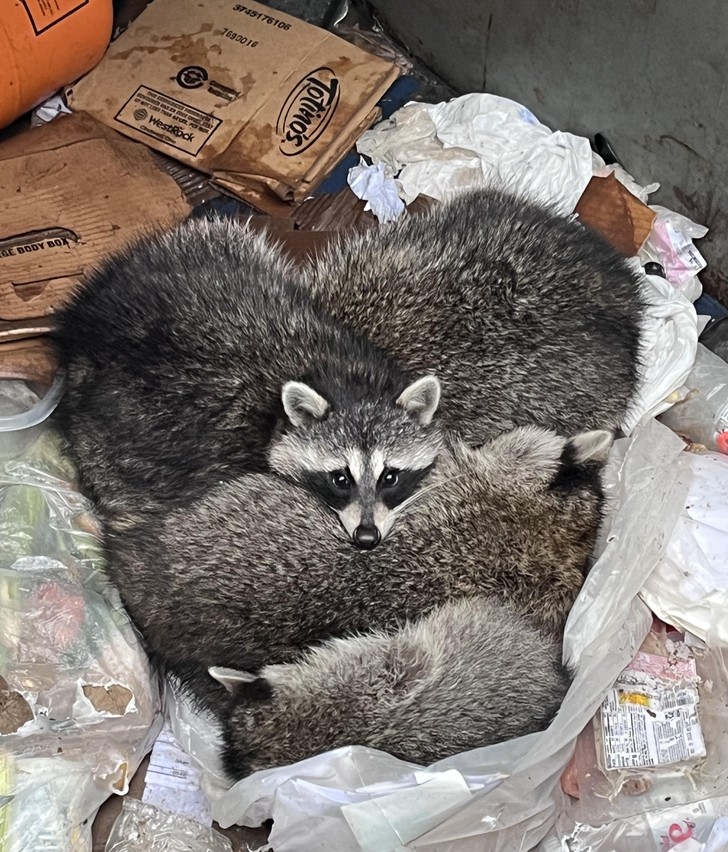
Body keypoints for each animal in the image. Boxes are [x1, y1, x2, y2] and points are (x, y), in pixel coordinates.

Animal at [52, 216, 438, 548]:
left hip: (199, 246)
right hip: (103, 448)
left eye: (390, 476)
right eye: (340, 478)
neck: (342, 377)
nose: (367, 537)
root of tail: (85, 324)